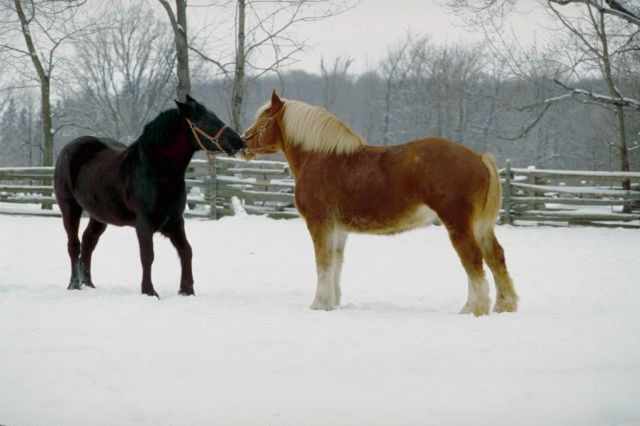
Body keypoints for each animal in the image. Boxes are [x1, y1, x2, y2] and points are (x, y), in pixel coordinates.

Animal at [53, 95, 245, 296]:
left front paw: (186, 290)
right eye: (205, 121)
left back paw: (89, 284)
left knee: (88, 242)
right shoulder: (144, 222)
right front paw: (149, 291)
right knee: (74, 245)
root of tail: (69, 149)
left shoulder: (175, 221)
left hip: (99, 216)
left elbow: (186, 250)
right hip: (70, 208)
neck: (156, 170)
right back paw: (74, 284)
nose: (239, 141)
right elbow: (148, 255)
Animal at [242, 90, 516, 316]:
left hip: (458, 224)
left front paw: (319, 304)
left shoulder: (319, 223)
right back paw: (503, 305)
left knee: (472, 260)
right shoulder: (338, 229)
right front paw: (333, 302)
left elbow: (323, 263)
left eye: (263, 119)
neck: (320, 158)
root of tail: (479, 158)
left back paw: (474, 309)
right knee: (495, 257)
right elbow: (336, 263)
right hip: (480, 226)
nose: (242, 142)